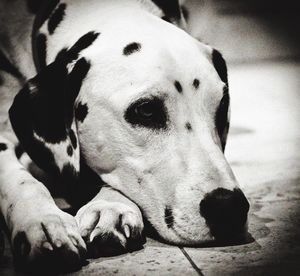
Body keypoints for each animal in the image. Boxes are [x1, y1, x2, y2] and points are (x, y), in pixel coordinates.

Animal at [0, 0, 248, 272]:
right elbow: (22, 181)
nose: (230, 207)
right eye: (146, 110)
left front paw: (110, 206)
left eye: (222, 107)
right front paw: (43, 222)